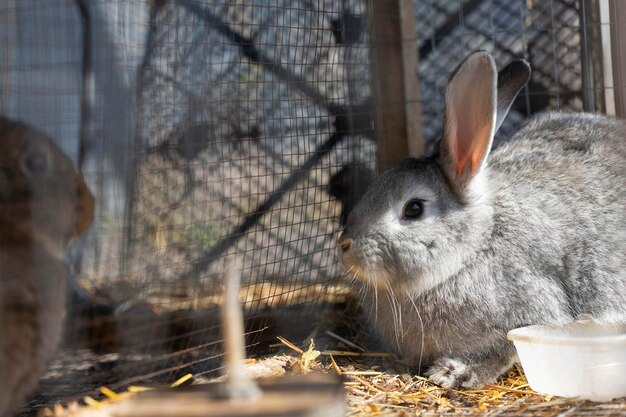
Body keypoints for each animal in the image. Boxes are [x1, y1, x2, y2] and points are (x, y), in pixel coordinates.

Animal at [338, 51, 620, 386]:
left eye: (414, 209)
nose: (344, 245)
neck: (472, 251)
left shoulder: (536, 310)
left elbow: (507, 348)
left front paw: (454, 372)